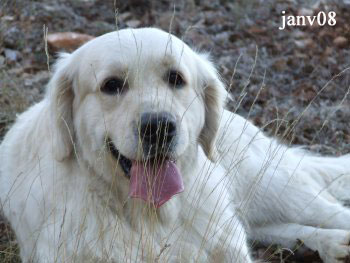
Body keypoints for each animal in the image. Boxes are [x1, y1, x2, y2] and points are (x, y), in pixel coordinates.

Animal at [0, 27, 348, 263]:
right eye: (111, 85)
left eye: (176, 79)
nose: (158, 128)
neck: (151, 219)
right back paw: (330, 244)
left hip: (274, 187)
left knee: (333, 210)